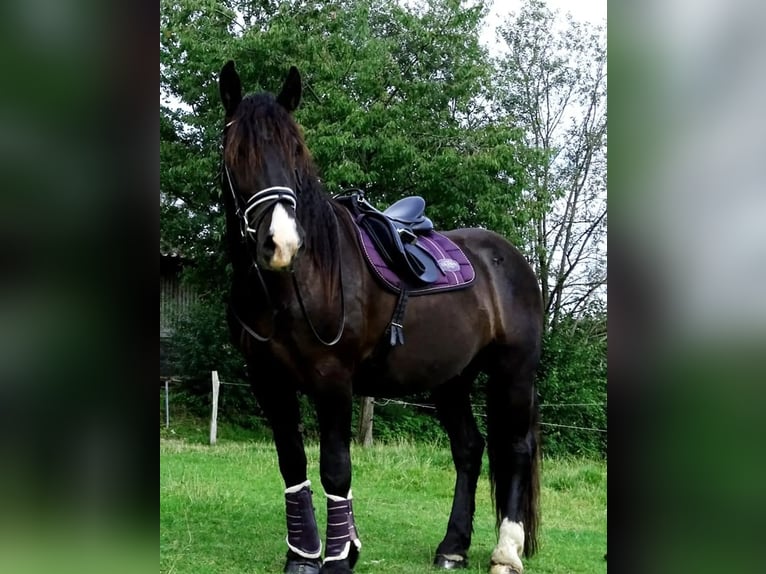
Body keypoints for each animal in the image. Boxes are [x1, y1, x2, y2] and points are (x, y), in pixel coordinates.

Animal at [217, 60, 543, 574]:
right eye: (237, 152)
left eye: (296, 151)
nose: (282, 244)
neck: (300, 282)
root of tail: (510, 258)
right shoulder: (267, 380)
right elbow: (293, 464)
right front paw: (306, 556)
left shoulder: (332, 379)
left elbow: (335, 467)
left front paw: (337, 558)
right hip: (451, 379)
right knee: (469, 449)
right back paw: (452, 547)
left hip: (514, 372)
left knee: (515, 449)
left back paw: (505, 553)